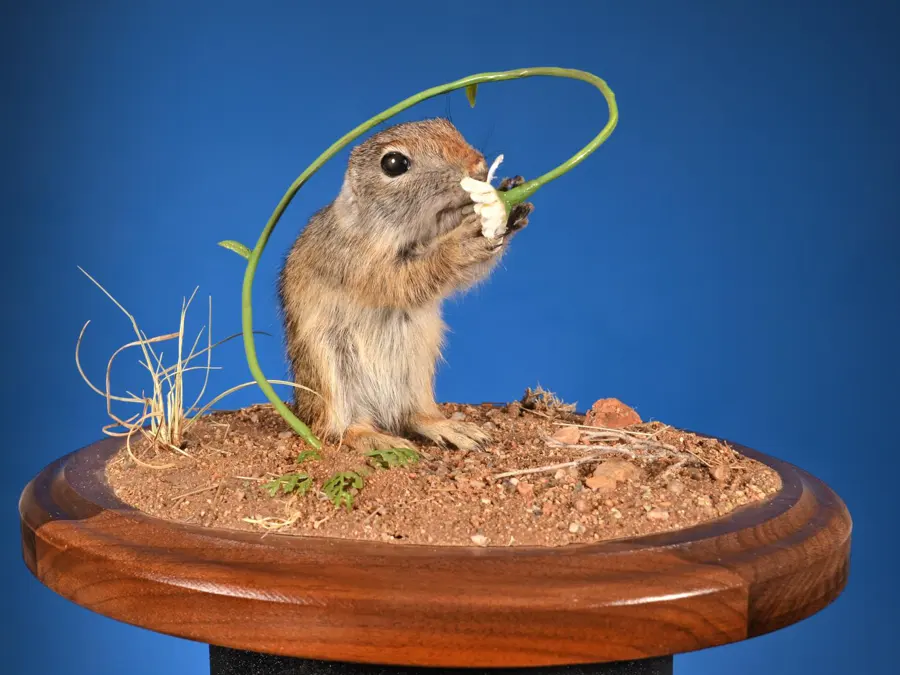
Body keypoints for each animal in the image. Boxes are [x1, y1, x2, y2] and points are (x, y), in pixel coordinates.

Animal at [277, 118, 533, 453]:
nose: (477, 164)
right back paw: (380, 440)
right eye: (394, 163)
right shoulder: (360, 263)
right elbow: (411, 277)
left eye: (447, 124)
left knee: (413, 416)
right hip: (329, 374)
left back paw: (451, 429)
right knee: (339, 429)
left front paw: (511, 198)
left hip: (418, 370)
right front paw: (467, 239)